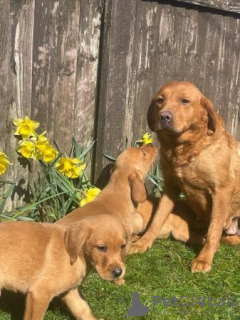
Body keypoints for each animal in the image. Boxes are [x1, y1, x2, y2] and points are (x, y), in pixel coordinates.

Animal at [0, 214, 129, 320]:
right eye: (102, 248)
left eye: (123, 246)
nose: (118, 272)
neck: (77, 256)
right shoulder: (39, 294)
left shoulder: (71, 291)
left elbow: (83, 309)